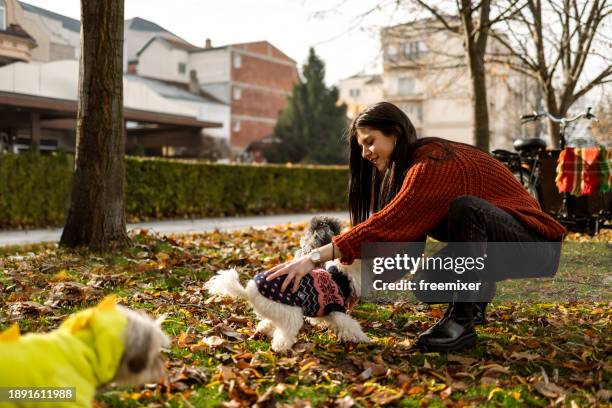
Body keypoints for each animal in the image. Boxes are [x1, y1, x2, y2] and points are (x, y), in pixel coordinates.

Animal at [206, 215, 370, 352]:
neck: (340, 276)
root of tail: (249, 291)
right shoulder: (336, 308)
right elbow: (350, 325)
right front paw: (365, 339)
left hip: (275, 309)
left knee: (267, 322)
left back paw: (264, 330)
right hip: (289, 312)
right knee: (284, 333)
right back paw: (281, 347)